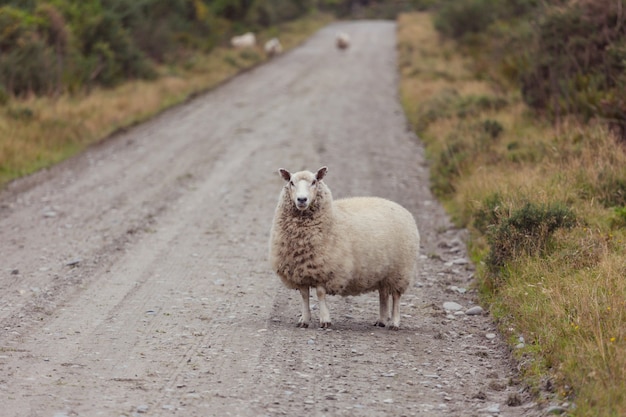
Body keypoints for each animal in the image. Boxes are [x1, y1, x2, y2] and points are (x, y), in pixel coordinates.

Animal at [268, 166, 420, 328]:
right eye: (291, 182)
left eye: (314, 181)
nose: (302, 199)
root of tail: (400, 207)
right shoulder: (300, 271)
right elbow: (304, 295)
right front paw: (304, 320)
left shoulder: (325, 269)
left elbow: (320, 294)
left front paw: (325, 320)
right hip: (384, 272)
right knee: (383, 294)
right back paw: (382, 320)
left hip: (400, 269)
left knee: (396, 296)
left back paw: (395, 323)